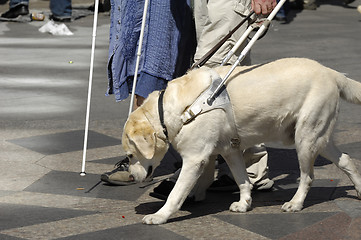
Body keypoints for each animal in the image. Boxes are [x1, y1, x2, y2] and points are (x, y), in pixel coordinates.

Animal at [121, 58, 360, 225]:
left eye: (131, 155)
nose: (131, 176)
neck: (180, 110)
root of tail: (331, 72)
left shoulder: (194, 159)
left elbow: (176, 194)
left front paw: (160, 216)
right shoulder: (230, 150)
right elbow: (242, 179)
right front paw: (244, 203)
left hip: (305, 139)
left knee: (308, 176)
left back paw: (296, 203)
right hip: (319, 138)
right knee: (346, 159)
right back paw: (359, 189)